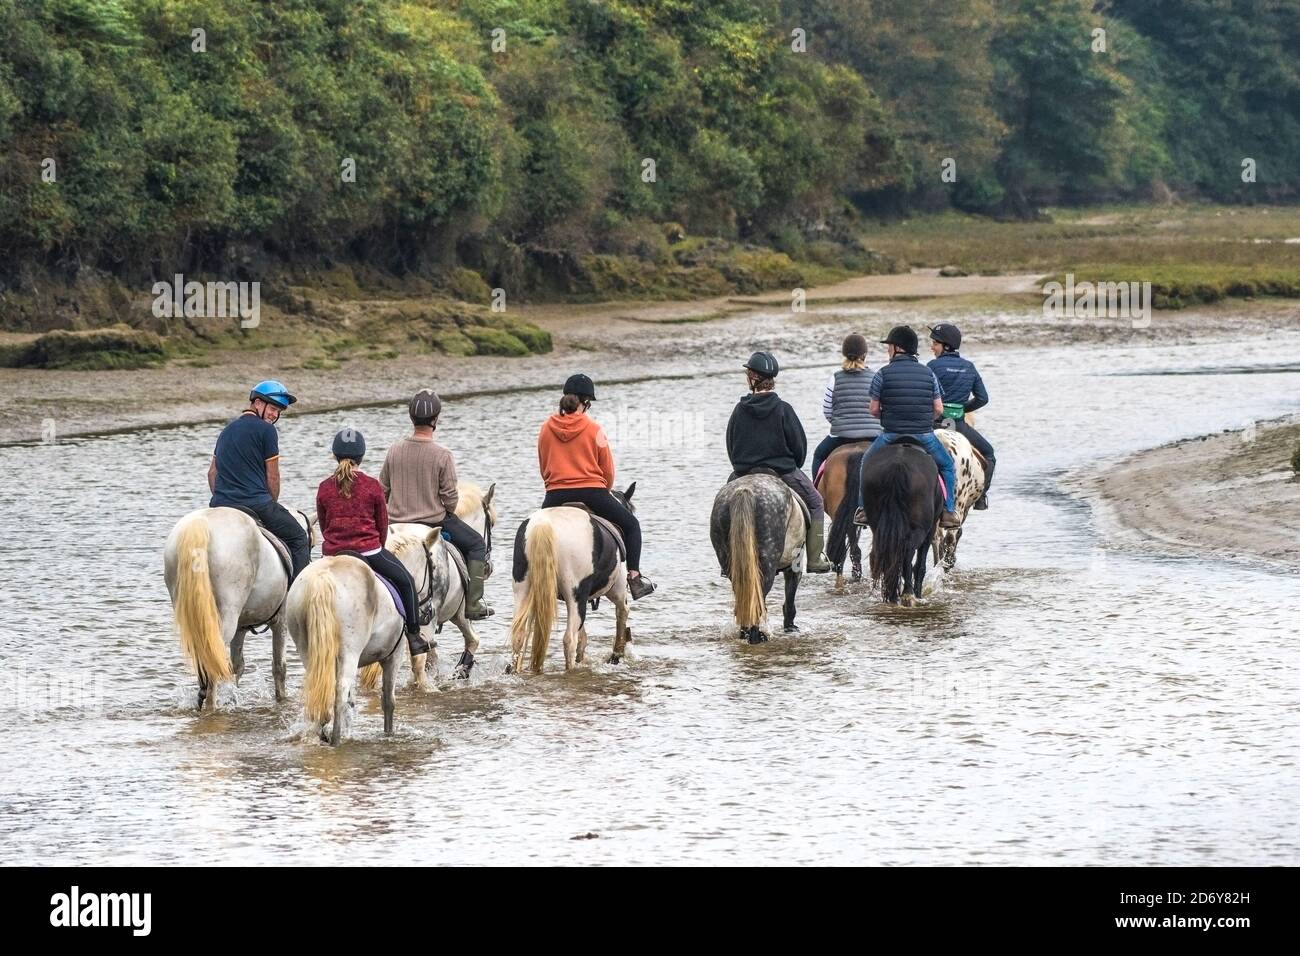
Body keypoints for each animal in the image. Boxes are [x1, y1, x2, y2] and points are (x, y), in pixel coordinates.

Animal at [162, 509, 314, 712]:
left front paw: (232, 696)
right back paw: (211, 705)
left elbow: (237, 665)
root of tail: (202, 524)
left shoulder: (241, 627)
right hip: (227, 616)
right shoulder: (280, 622)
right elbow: (279, 667)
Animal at [506, 486, 634, 671]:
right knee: (569, 639)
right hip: (575, 595)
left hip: (522, 589)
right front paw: (616, 656)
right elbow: (622, 614)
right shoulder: (617, 591)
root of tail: (544, 525)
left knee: (518, 635)